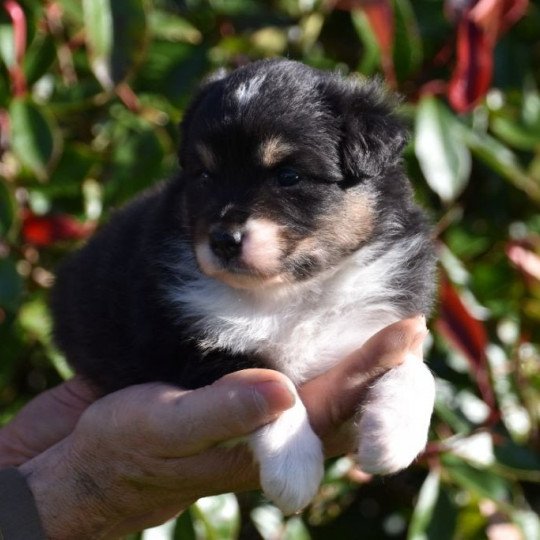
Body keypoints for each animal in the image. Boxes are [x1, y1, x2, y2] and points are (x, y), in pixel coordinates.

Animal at [51, 59, 438, 516]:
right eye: (204, 175)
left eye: (288, 175)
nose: (222, 240)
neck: (293, 291)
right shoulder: (188, 348)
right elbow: (269, 378)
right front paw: (294, 471)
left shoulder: (383, 321)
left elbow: (418, 369)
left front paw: (392, 437)